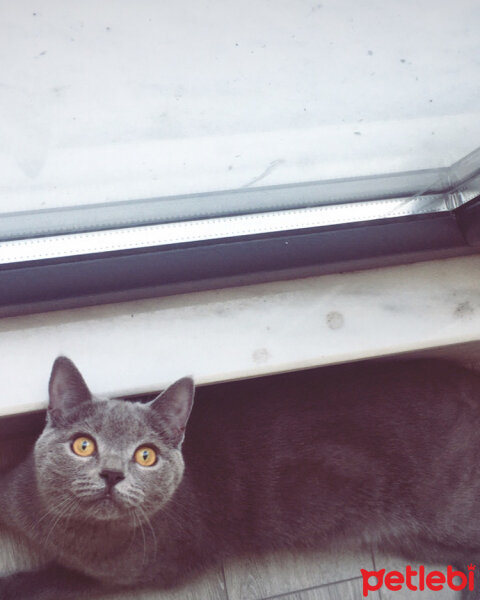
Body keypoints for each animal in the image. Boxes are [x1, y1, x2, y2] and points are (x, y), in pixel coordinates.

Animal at [0, 358, 480, 596]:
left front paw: (17, 584)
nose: (113, 473)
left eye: (146, 455)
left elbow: (55, 582)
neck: (69, 534)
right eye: (84, 445)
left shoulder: (147, 571)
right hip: (428, 540)